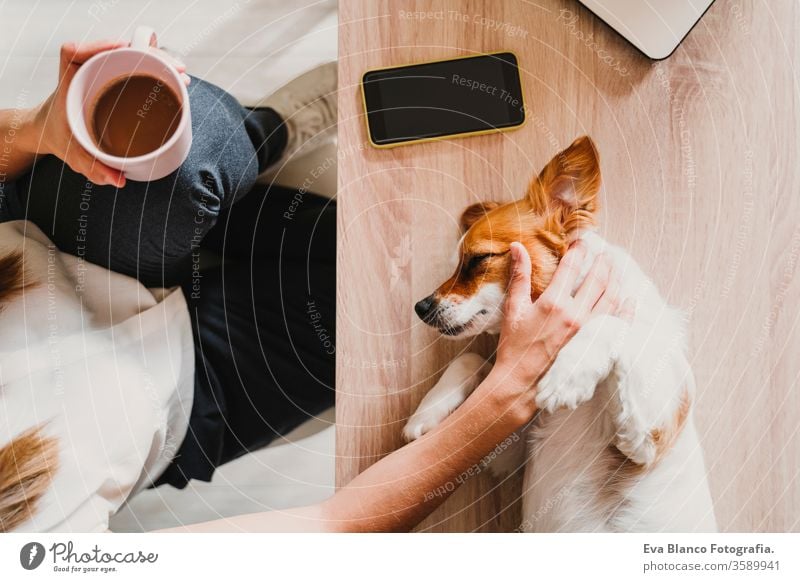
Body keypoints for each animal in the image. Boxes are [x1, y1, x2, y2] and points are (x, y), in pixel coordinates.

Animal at [404, 137, 716, 532]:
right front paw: (426, 413)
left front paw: (567, 377)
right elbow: (472, 358)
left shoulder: (649, 438)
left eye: (476, 260)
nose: (421, 307)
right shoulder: (512, 442)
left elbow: (611, 325)